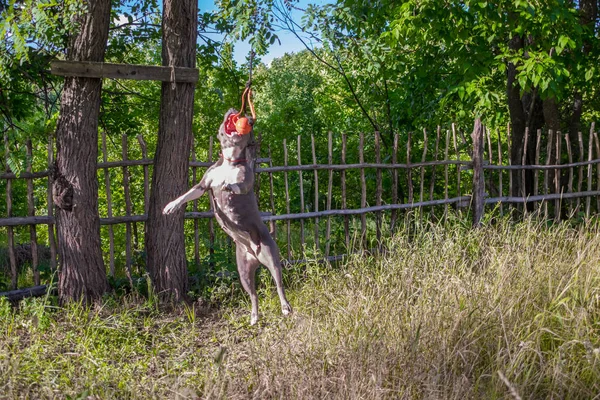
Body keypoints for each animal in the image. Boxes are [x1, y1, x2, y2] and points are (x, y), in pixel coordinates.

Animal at [163, 108, 292, 324]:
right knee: (253, 294)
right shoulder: (203, 185)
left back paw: (285, 307)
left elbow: (238, 185)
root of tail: (254, 254)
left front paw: (229, 186)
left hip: (271, 258)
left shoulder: (246, 181)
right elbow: (187, 195)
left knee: (279, 284)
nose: (236, 111)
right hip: (243, 271)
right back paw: (254, 316)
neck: (230, 162)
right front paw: (171, 206)